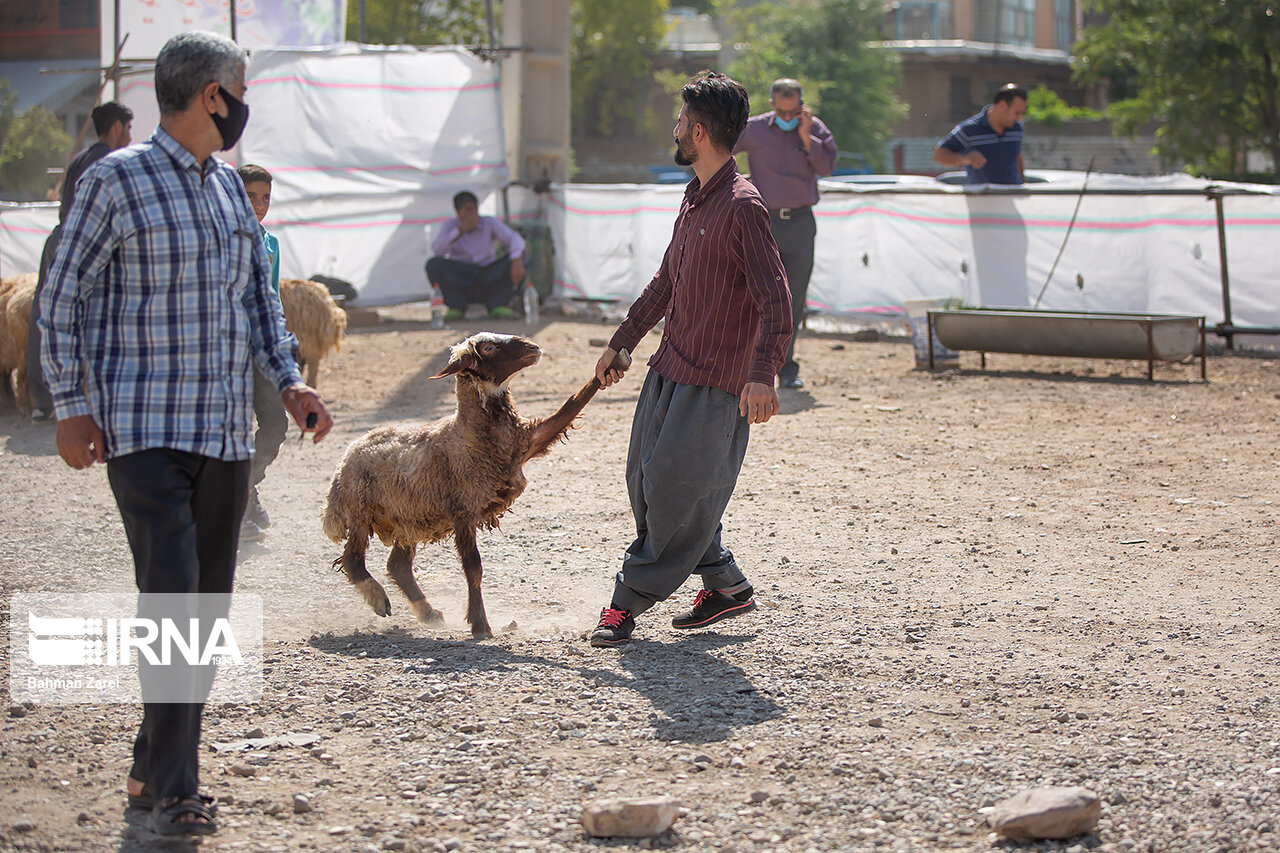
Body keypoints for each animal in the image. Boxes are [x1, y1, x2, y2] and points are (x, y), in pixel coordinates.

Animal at [320, 327, 629, 635]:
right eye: (488, 348)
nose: (533, 347)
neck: (471, 436)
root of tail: (348, 454)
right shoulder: (463, 511)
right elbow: (474, 569)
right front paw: (480, 624)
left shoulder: (528, 441)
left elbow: (572, 404)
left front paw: (612, 365)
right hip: (361, 510)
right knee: (353, 559)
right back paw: (378, 600)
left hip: (410, 516)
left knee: (398, 565)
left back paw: (428, 612)